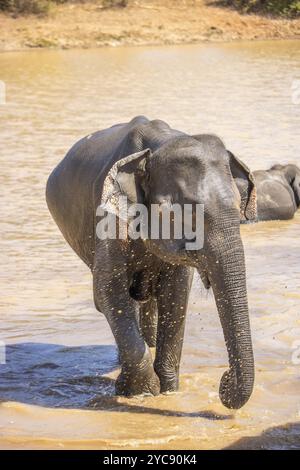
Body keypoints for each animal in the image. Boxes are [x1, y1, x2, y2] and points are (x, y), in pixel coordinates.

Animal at [45, 115, 256, 410]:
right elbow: (107, 290)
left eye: (239, 210)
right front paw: (140, 391)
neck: (158, 146)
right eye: (187, 214)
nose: (223, 380)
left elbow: (176, 293)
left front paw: (167, 390)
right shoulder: (109, 215)